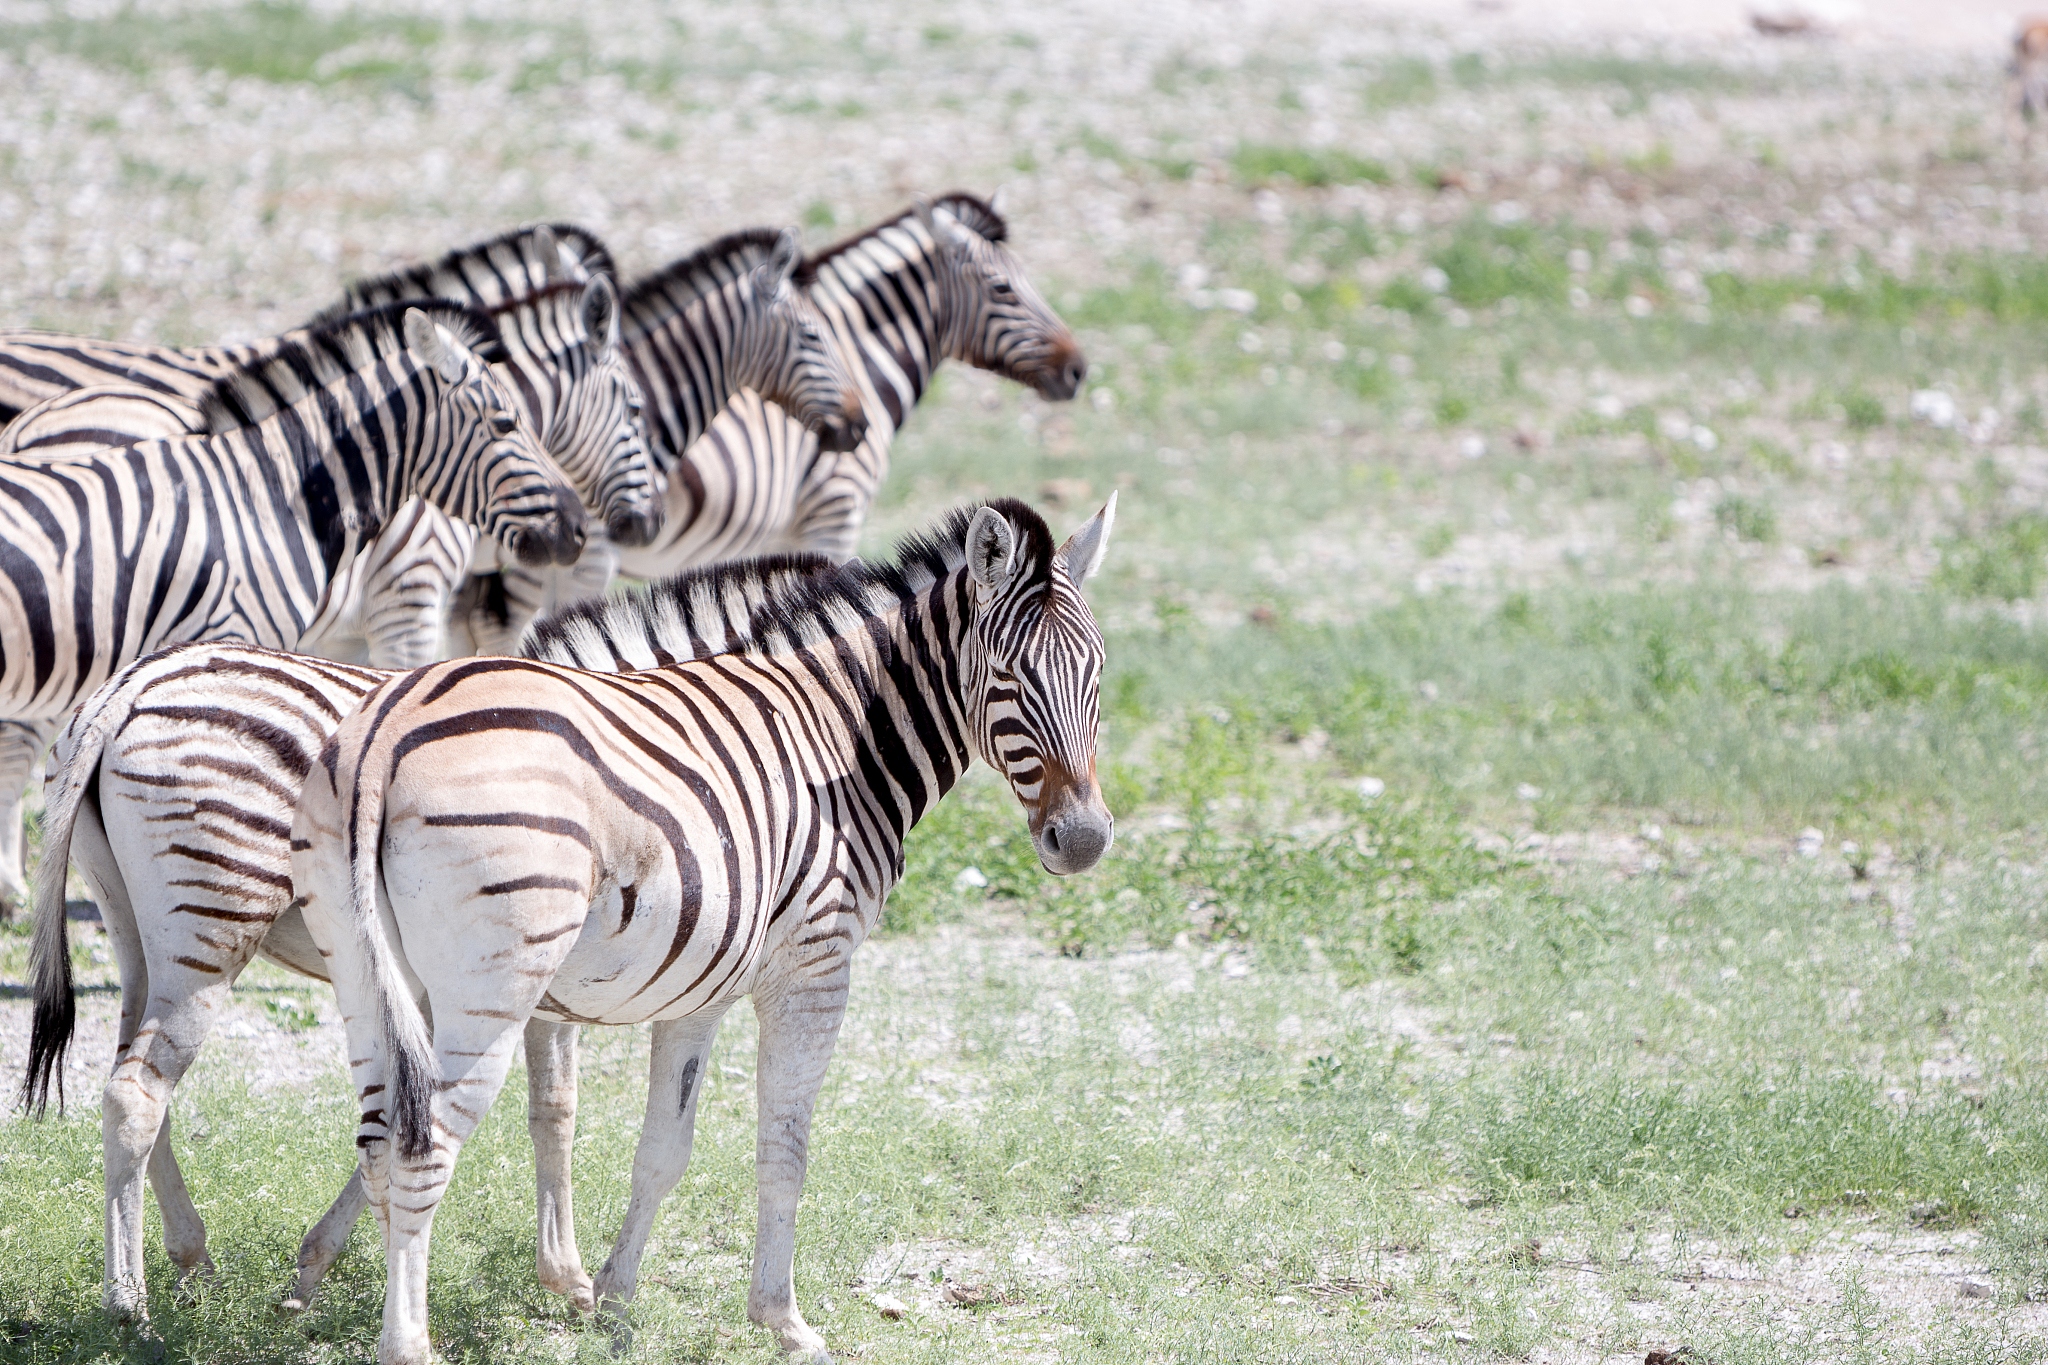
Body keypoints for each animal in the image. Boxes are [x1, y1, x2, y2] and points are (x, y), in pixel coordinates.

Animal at [289, 495, 1113, 1364]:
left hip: (367, 977)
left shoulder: (699, 990)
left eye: (1098, 677)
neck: (840, 737)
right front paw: (783, 1319)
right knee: (424, 1148)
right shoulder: (814, 970)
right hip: (491, 985)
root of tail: (387, 728)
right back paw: (407, 1343)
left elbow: (661, 1149)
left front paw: (613, 1302)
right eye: (1009, 677)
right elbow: (785, 1148)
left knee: (380, 1137)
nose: (1085, 840)